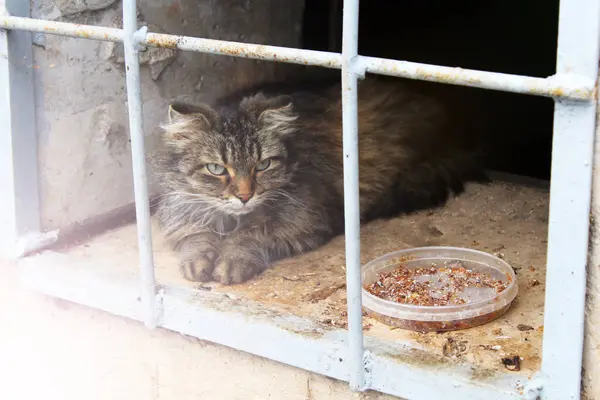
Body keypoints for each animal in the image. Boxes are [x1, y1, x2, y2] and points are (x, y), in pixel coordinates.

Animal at [151, 74, 488, 284]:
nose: (245, 196)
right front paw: (197, 261)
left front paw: (232, 260)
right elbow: (196, 237)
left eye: (263, 165)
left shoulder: (305, 220)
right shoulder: (182, 211)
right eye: (217, 169)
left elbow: (251, 236)